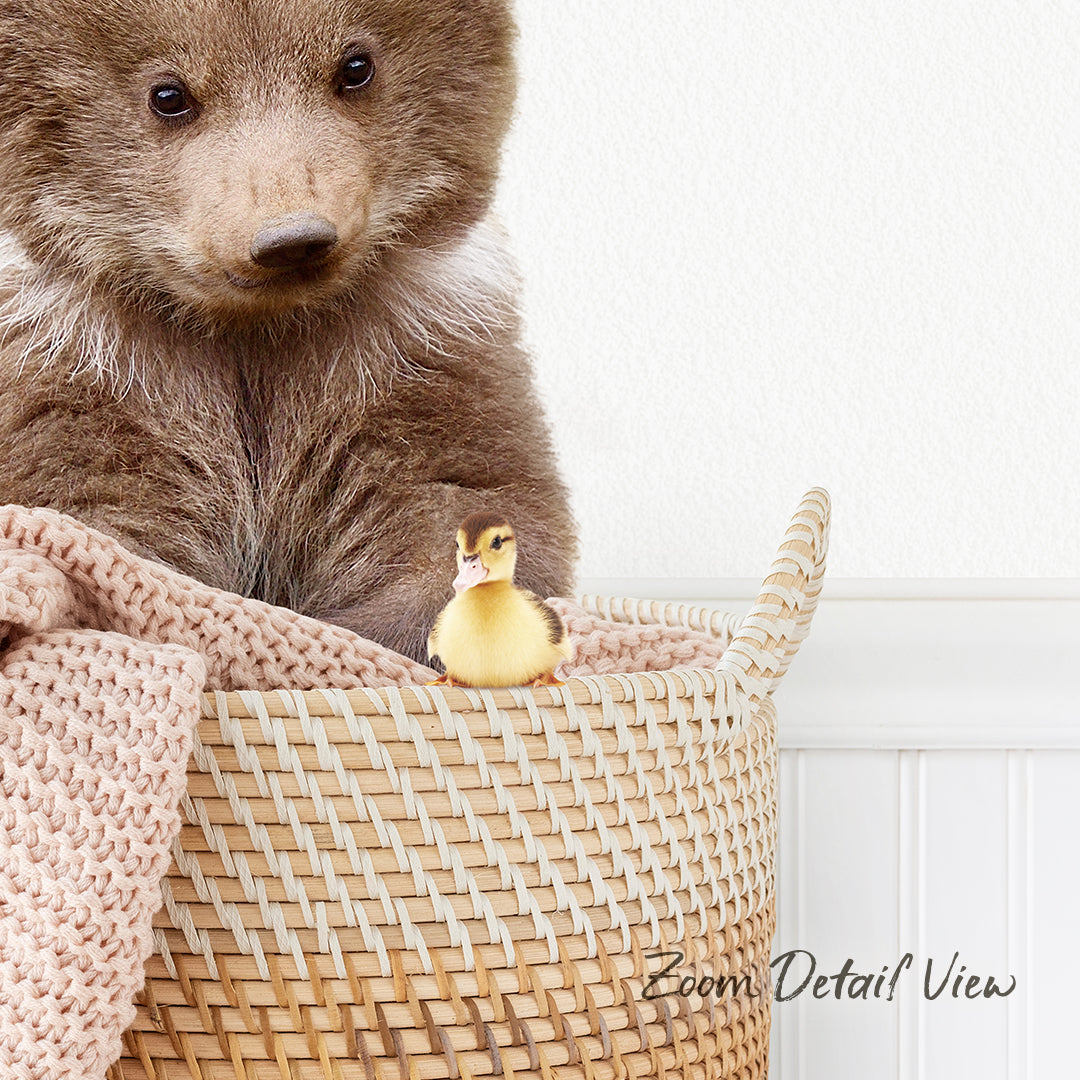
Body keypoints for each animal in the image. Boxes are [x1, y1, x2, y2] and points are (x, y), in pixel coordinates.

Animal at [0, 0, 577, 665]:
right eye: (168, 94)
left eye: (356, 66)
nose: (292, 237)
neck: (252, 328)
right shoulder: (92, 367)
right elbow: (95, 516)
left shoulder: (408, 352)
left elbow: (459, 496)